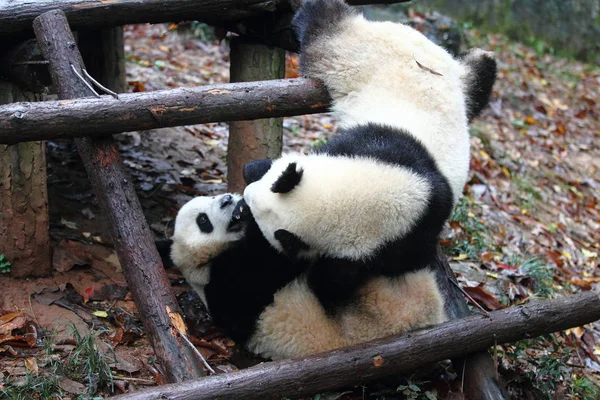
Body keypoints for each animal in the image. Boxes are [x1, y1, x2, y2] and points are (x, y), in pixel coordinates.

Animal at [169, 194, 446, 360]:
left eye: (211, 196)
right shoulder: (226, 285)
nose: (227, 200)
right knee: (331, 280)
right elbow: (261, 272)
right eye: (203, 221)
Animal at [239, 0, 496, 312]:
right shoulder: (370, 141)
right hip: (344, 50)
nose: (247, 182)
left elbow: (347, 277)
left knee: (481, 74)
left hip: (454, 79)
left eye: (256, 213)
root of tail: (423, 41)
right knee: (321, 22)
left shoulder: (411, 234)